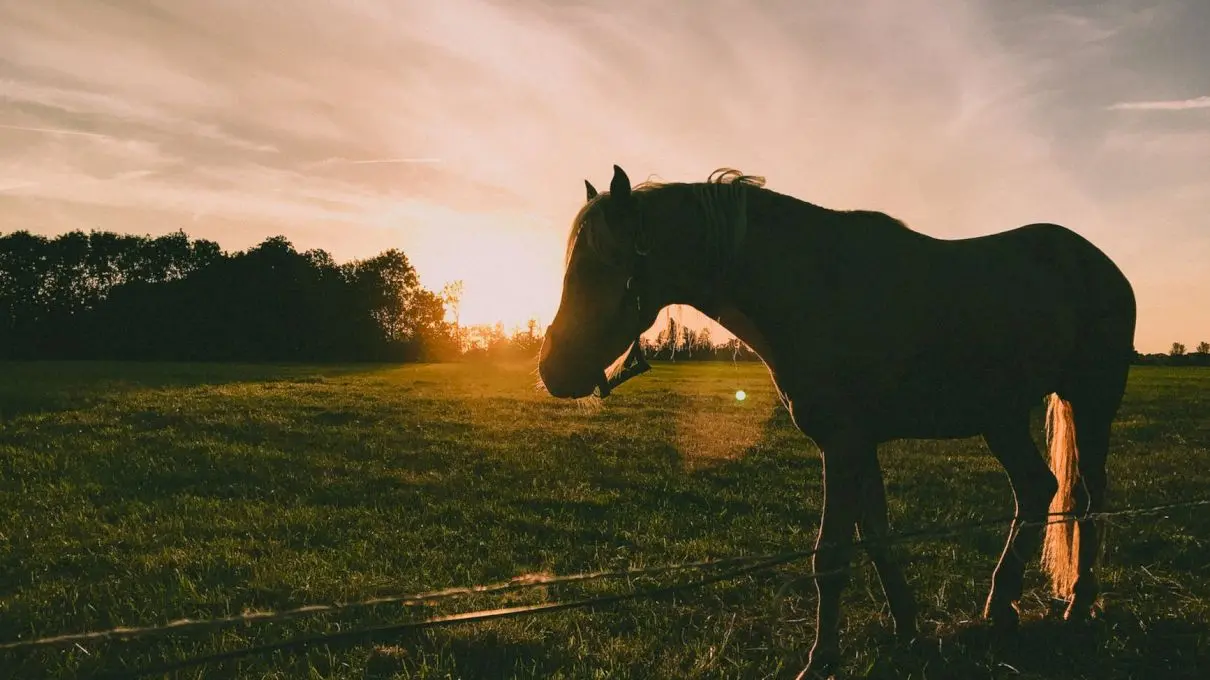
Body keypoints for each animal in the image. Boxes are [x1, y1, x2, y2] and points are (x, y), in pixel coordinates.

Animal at [539, 163, 1132, 672]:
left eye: (600, 265)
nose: (551, 369)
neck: (813, 288)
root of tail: (1100, 263)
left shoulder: (842, 444)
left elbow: (831, 555)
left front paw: (822, 660)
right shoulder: (858, 445)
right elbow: (875, 537)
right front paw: (908, 628)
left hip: (1090, 402)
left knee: (1086, 497)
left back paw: (1078, 603)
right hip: (1001, 417)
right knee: (1037, 489)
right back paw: (1001, 607)